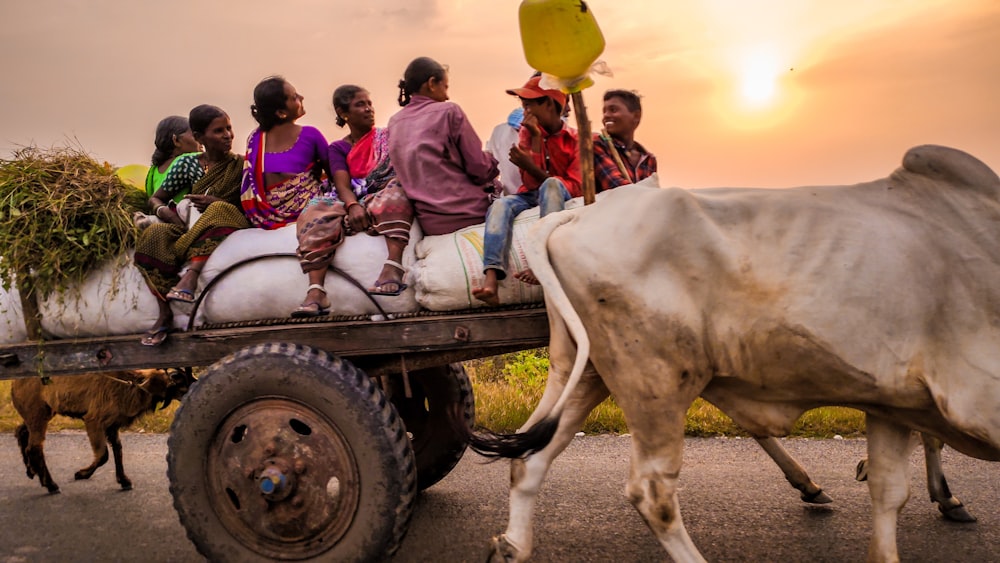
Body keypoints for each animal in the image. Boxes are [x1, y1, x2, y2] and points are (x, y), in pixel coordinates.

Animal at [13, 370, 191, 494]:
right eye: (178, 378)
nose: (194, 383)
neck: (132, 385)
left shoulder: (112, 425)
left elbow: (118, 449)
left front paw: (124, 480)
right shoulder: (94, 420)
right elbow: (103, 455)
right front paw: (81, 474)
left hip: (41, 412)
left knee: (22, 433)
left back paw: (31, 471)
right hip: (37, 412)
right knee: (34, 447)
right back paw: (51, 485)